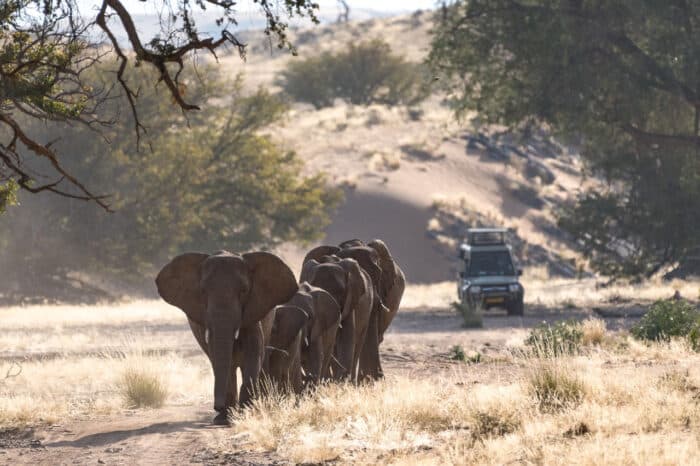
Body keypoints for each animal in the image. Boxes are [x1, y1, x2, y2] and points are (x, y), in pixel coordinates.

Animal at [154, 251, 296, 426]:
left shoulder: (253, 310)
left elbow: (253, 351)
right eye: (203, 292)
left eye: (244, 291)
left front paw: (246, 411)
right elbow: (217, 355)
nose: (217, 406)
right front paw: (225, 418)